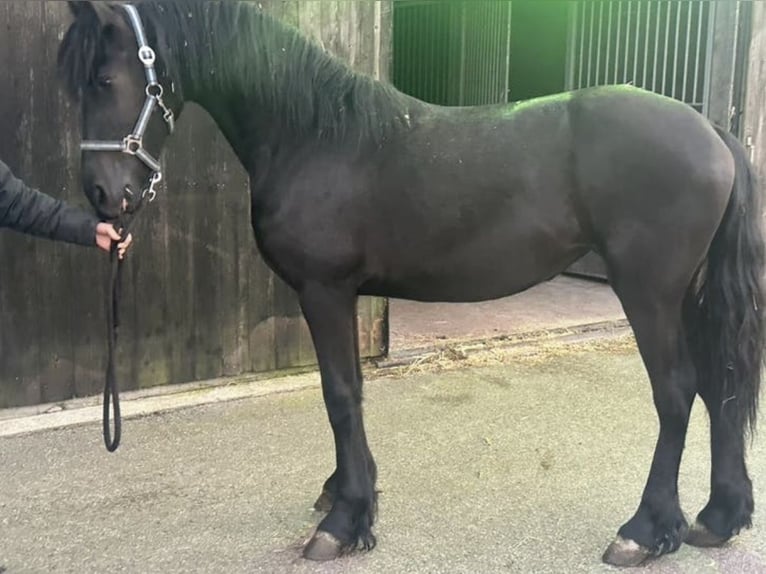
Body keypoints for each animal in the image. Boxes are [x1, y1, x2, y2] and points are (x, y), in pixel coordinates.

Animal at [57, 0, 764, 567]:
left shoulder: (324, 291)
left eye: (106, 79)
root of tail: (712, 130)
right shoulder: (338, 296)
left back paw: (643, 531)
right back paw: (717, 518)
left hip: (648, 293)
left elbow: (340, 395)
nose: (102, 195)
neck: (315, 137)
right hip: (687, 296)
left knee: (678, 393)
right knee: (720, 385)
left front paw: (344, 522)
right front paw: (347, 495)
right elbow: (350, 390)